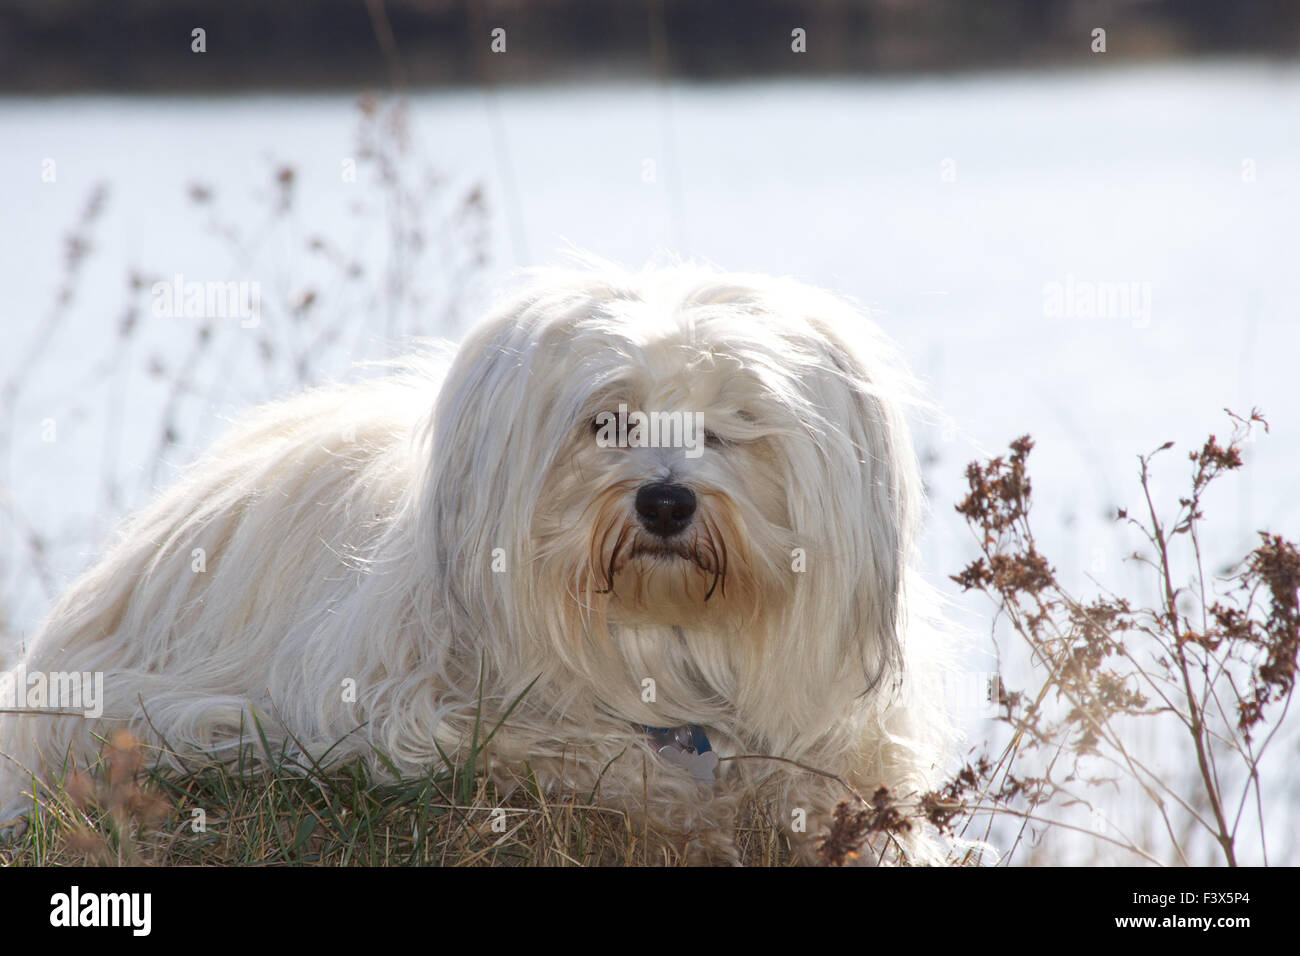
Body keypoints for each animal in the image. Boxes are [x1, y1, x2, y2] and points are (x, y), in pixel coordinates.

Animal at [0, 261, 956, 868]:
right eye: (605, 422)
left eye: (723, 428)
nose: (665, 503)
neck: (660, 637)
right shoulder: (425, 718)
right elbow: (584, 757)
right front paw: (690, 810)